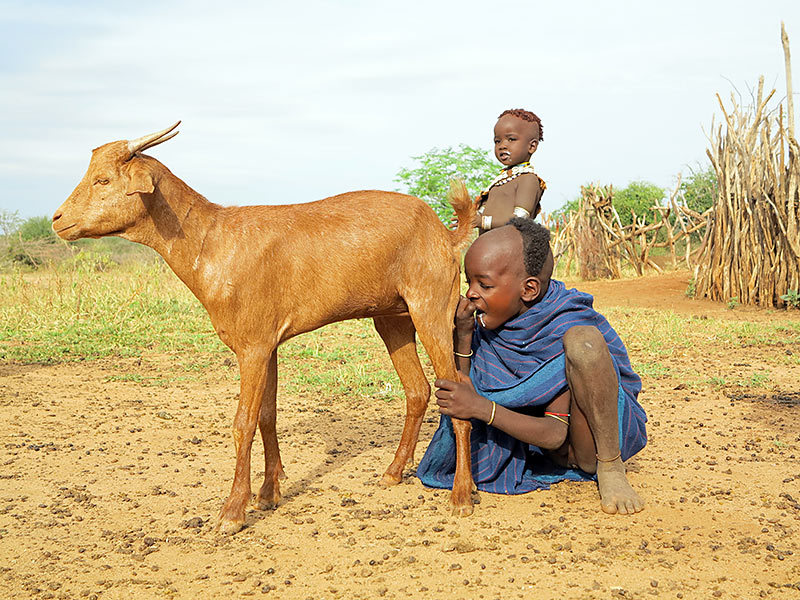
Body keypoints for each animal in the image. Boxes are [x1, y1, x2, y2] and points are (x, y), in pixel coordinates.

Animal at [54, 122, 482, 536]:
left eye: (103, 179)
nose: (58, 219)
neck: (212, 243)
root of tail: (444, 234)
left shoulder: (253, 347)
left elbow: (243, 423)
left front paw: (232, 512)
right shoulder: (267, 343)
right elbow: (267, 416)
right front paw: (267, 493)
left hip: (431, 308)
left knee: (454, 391)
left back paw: (461, 495)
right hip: (393, 318)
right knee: (417, 390)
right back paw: (394, 472)